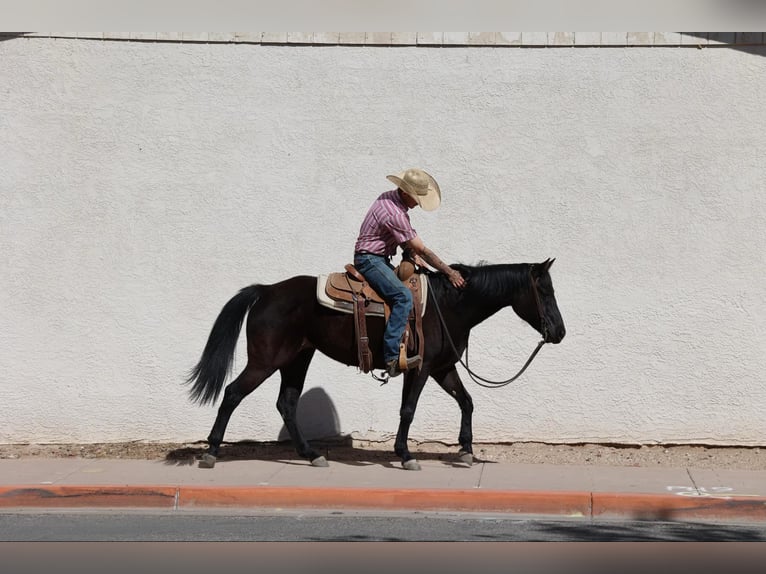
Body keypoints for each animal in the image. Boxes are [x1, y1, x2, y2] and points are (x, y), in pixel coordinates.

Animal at [184, 258, 566, 470]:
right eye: (545, 291)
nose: (560, 332)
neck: (449, 304)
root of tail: (265, 291)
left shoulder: (443, 368)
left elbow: (467, 401)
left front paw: (466, 450)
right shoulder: (421, 368)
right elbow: (409, 410)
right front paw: (406, 455)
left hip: (297, 358)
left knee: (287, 403)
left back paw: (312, 454)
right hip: (265, 360)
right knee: (233, 393)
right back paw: (212, 452)